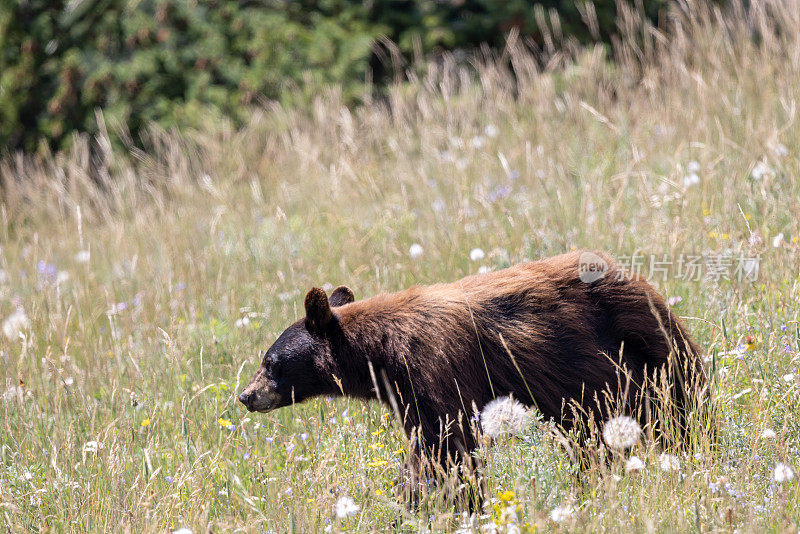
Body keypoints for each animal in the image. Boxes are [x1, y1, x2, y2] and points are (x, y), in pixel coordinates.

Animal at [238, 253, 708, 480]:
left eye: (270, 362)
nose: (245, 395)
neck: (381, 352)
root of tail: (646, 287)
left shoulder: (434, 367)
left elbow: (445, 445)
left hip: (639, 362)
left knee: (670, 414)